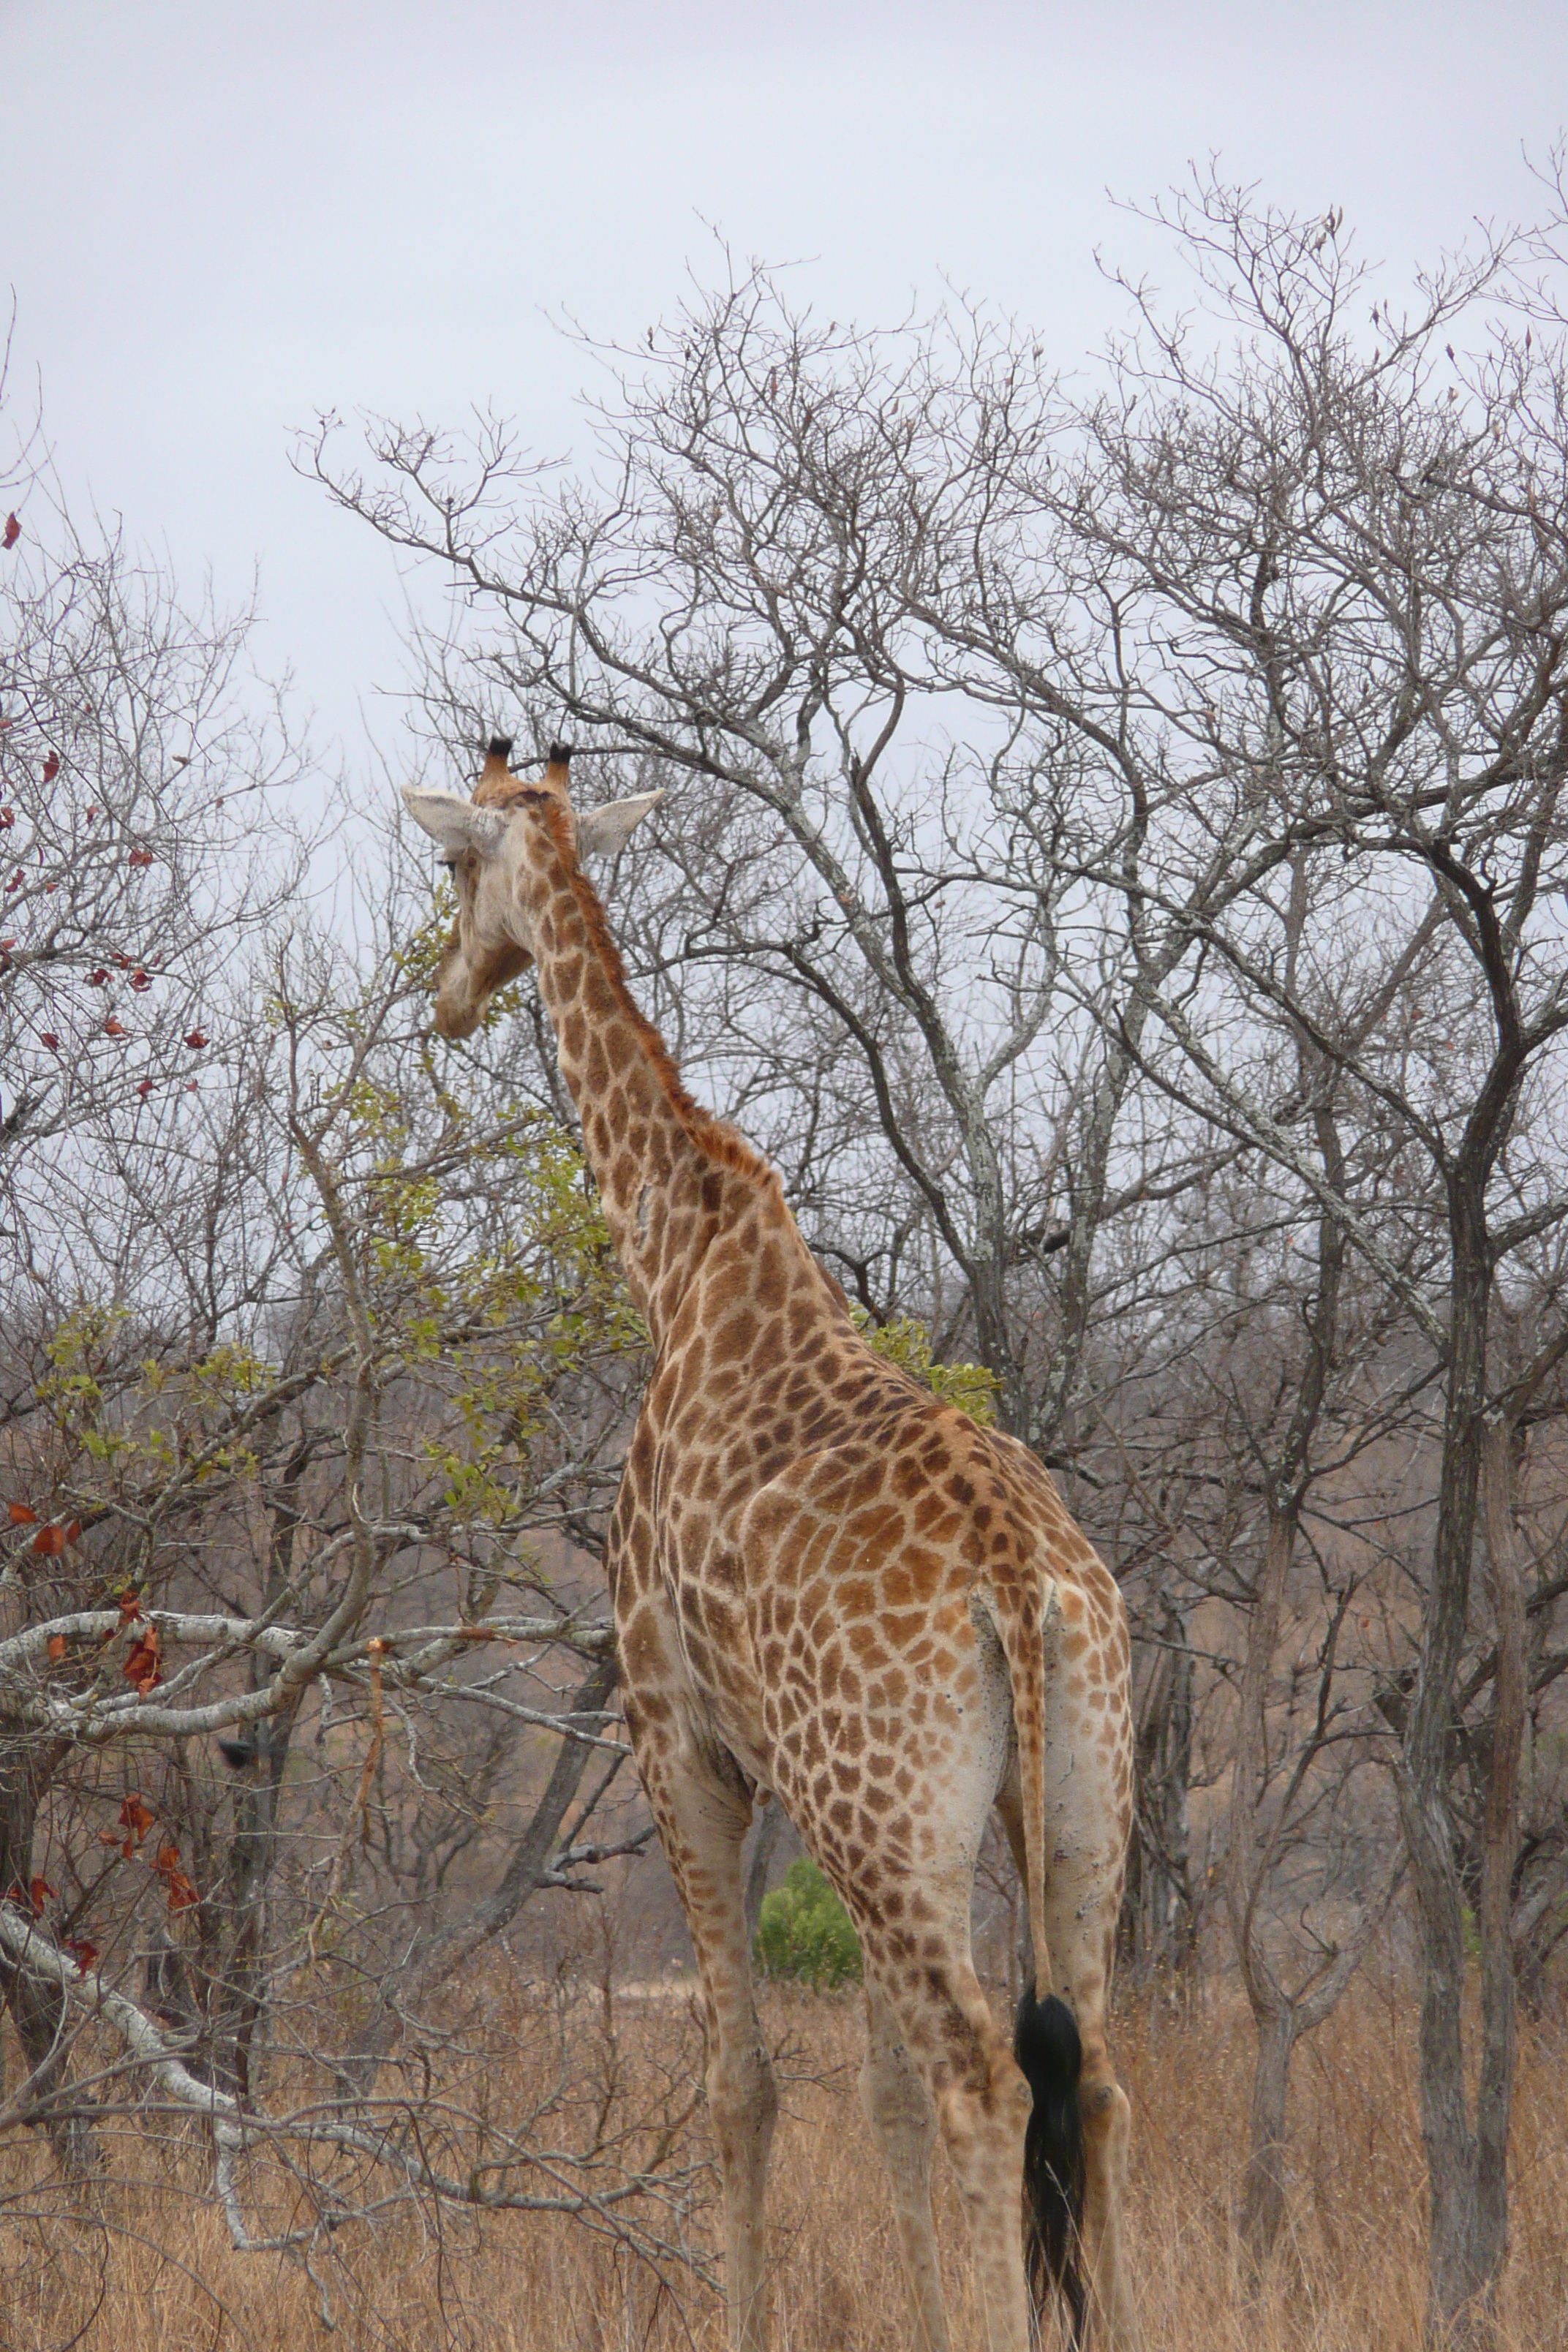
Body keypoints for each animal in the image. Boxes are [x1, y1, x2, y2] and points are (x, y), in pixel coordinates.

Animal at [404, 738, 1142, 2352]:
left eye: (451, 866)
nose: (446, 994)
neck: (676, 1261)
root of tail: (1019, 1585)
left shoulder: (681, 1738)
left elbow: (739, 2085)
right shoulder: (817, 1800)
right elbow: (870, 2094)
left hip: (893, 1813)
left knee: (985, 2078)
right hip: (1060, 1801)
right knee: (1092, 2076)